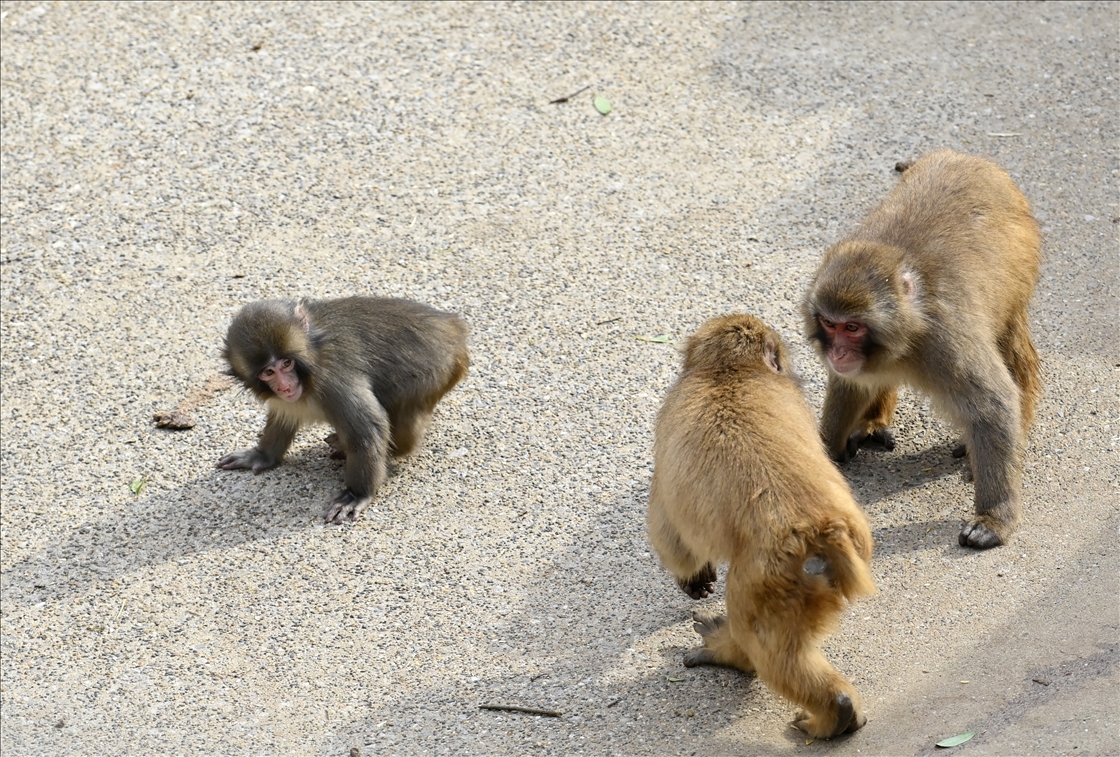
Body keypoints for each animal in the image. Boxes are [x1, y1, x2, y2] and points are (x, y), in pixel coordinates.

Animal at [217, 296, 469, 524]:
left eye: (286, 363)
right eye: (268, 372)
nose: (285, 386)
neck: (312, 353)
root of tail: (454, 327)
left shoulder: (332, 377)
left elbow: (368, 429)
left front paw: (357, 494)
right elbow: (284, 416)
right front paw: (262, 455)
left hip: (435, 373)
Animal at [647, 314, 876, 739]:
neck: (729, 370)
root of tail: (821, 530)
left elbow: (669, 531)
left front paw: (692, 578)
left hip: (765, 579)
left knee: (765, 647)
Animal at [803, 149, 1042, 550]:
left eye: (852, 327)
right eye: (830, 324)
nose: (838, 353)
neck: (908, 333)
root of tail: (966, 157)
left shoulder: (947, 342)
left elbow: (993, 404)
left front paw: (994, 518)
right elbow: (850, 385)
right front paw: (825, 456)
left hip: (1021, 266)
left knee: (1008, 345)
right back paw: (873, 423)